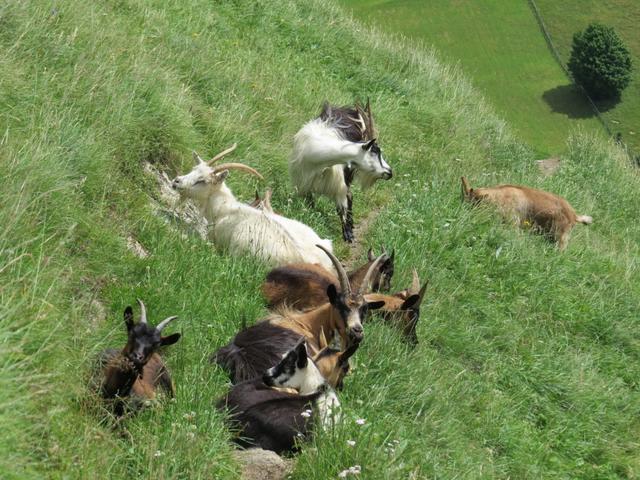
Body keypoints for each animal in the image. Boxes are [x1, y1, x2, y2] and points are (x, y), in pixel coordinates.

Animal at [288, 99, 390, 242]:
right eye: (375, 151)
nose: (389, 172)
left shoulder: (339, 185)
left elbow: (342, 207)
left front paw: (348, 234)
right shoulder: (303, 184)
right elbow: (310, 204)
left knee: (350, 196)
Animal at [460, 176, 592, 251]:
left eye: (474, 204)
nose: (467, 215)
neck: (498, 197)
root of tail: (574, 215)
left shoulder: (513, 221)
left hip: (560, 235)